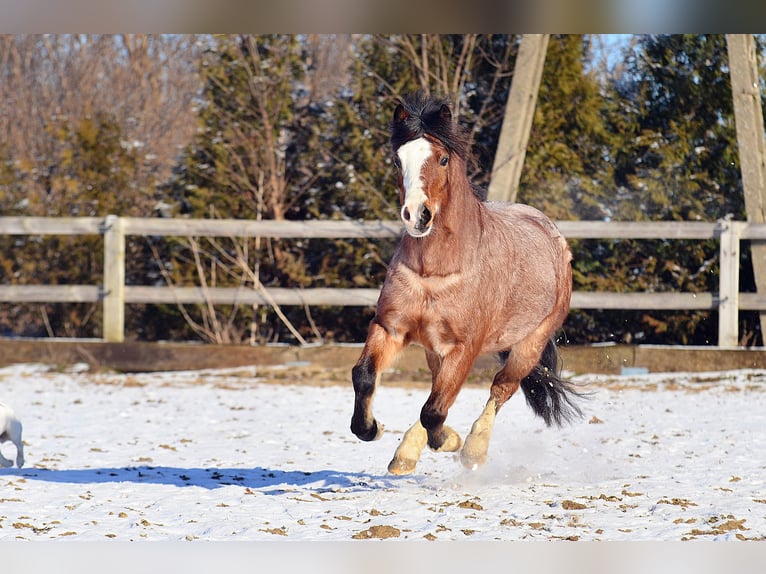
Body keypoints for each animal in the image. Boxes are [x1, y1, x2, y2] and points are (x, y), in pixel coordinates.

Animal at [352, 92, 584, 474]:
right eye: (399, 159)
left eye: (443, 158)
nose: (416, 215)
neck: (435, 272)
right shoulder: (391, 328)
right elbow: (365, 376)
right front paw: (373, 428)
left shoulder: (465, 347)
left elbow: (434, 411)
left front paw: (450, 442)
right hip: (435, 349)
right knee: (439, 391)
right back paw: (405, 456)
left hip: (528, 346)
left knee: (499, 390)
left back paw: (473, 449)